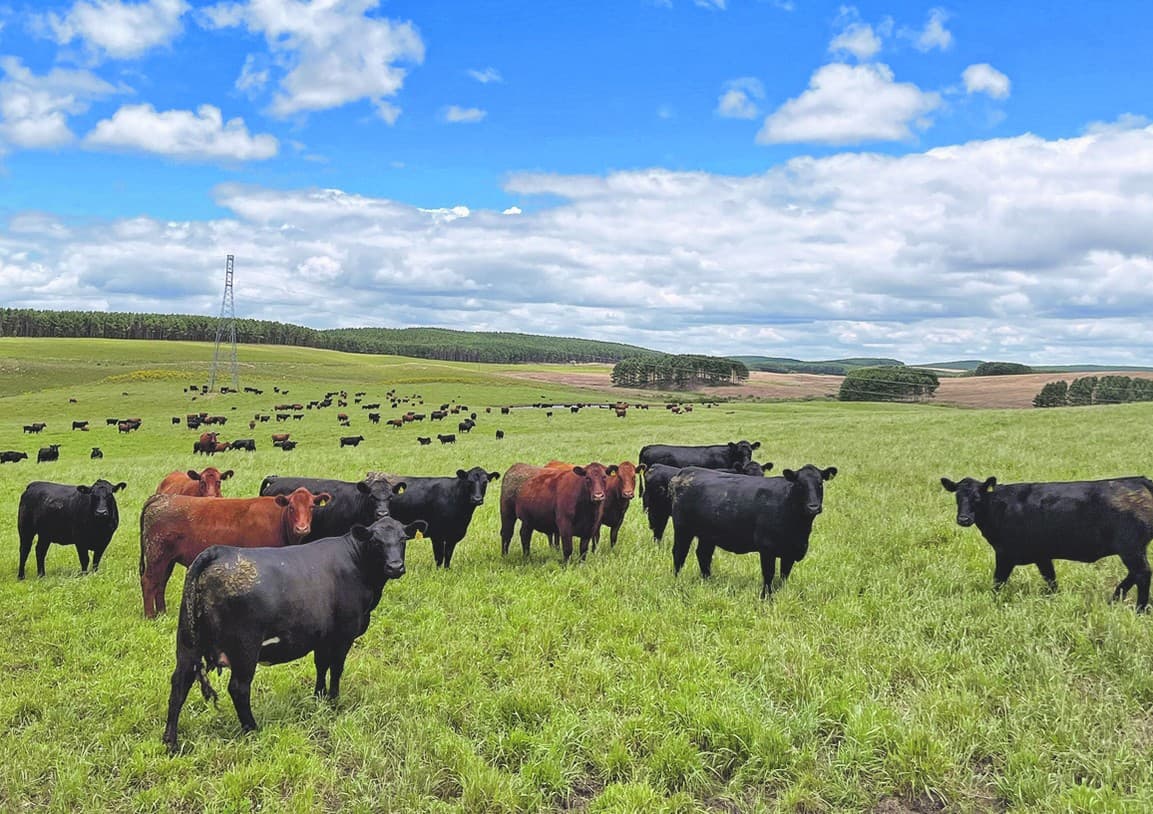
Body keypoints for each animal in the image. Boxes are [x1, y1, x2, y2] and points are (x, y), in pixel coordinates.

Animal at [139, 488, 332, 618]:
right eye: (291, 507)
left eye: (312, 507)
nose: (302, 528)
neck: (279, 521)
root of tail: (161, 498)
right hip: (156, 555)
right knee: (149, 581)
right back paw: (150, 616)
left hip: (167, 559)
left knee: (160, 583)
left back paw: (162, 612)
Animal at [161, 515, 424, 753]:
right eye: (376, 541)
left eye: (403, 538)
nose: (395, 566)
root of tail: (218, 551)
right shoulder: (343, 634)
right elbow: (336, 668)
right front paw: (334, 701)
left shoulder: (322, 635)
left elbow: (321, 665)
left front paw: (318, 698)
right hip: (246, 648)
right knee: (238, 688)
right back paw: (252, 729)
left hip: (187, 643)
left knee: (179, 685)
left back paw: (171, 742)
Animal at [368, 468, 500, 568]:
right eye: (469, 482)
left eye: (485, 482)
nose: (477, 499)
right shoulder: (437, 535)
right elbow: (439, 556)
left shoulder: (453, 536)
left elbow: (448, 555)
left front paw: (446, 570)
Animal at [669, 465, 836, 598]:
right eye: (800, 485)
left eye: (820, 483)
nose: (813, 507)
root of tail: (688, 470)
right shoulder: (767, 548)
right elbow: (768, 574)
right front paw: (766, 597)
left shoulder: (790, 552)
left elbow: (784, 575)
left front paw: (780, 593)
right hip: (683, 528)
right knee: (679, 554)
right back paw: (676, 581)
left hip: (708, 534)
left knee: (703, 555)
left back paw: (708, 581)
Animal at [941, 475, 1153, 610]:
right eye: (957, 497)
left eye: (977, 498)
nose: (963, 519)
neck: (998, 506)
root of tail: (1138, 480)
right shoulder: (1041, 555)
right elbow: (1051, 579)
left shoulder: (1005, 553)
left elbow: (998, 582)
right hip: (1133, 549)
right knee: (1136, 574)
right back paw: (1114, 598)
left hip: (1130, 548)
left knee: (1142, 574)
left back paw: (1140, 609)